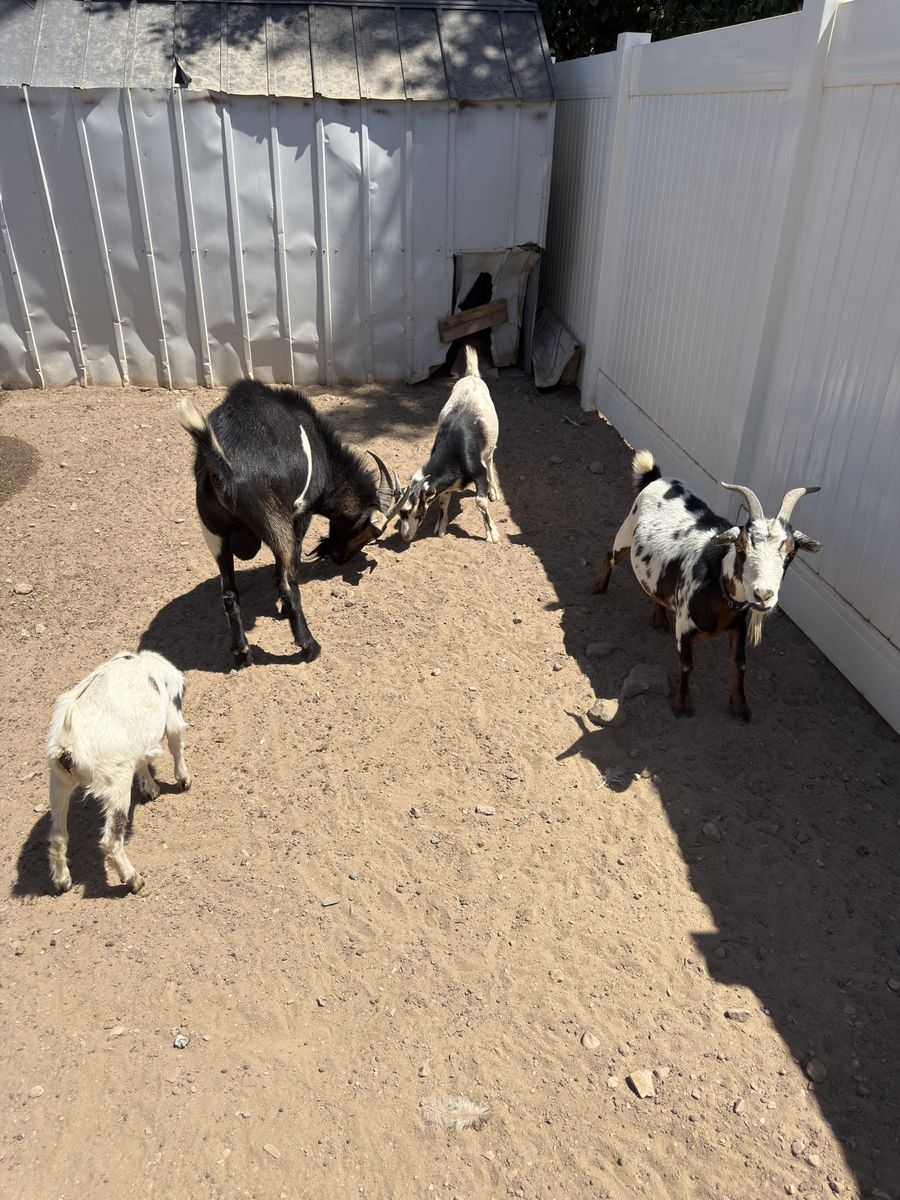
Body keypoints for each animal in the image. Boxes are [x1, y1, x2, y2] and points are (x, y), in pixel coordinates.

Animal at [46, 650, 190, 894]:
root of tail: (67, 746)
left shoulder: (136, 747)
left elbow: (142, 762)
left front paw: (151, 789)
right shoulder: (172, 713)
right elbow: (175, 743)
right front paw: (184, 781)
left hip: (59, 783)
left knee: (57, 835)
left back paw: (62, 881)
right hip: (115, 783)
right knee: (110, 841)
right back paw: (134, 880)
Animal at [177, 380, 397, 667]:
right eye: (369, 534)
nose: (339, 559)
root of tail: (223, 469)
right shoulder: (300, 513)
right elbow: (290, 566)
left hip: (214, 533)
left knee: (229, 594)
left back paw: (242, 654)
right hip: (275, 521)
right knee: (287, 585)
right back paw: (309, 647)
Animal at [395, 345, 500, 543]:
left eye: (417, 513)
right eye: (401, 514)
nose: (405, 536)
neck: (454, 449)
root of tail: (471, 376)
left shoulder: (478, 472)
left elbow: (480, 501)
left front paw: (493, 534)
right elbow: (443, 500)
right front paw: (441, 527)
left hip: (489, 446)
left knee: (490, 461)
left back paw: (494, 491)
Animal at [594, 450, 821, 720]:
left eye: (791, 553)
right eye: (741, 546)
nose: (763, 595)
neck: (716, 580)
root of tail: (657, 477)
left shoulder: (738, 626)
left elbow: (740, 665)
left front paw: (740, 707)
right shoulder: (684, 625)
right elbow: (686, 664)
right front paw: (682, 705)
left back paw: (659, 619)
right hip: (626, 534)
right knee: (608, 557)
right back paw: (598, 588)